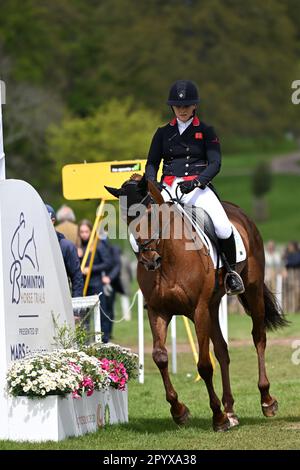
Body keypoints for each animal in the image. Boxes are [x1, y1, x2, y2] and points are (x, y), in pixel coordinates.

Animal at [105, 175, 286, 430]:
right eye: (127, 218)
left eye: (149, 214)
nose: (148, 260)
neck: (169, 258)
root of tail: (240, 212)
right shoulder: (158, 311)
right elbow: (160, 357)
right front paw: (179, 410)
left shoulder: (198, 310)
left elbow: (204, 365)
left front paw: (217, 417)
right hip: (213, 305)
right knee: (222, 350)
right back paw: (230, 410)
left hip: (252, 290)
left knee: (258, 338)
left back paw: (266, 401)